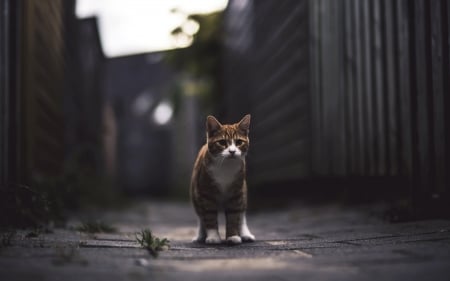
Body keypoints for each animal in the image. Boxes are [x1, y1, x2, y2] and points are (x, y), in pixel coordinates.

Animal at [190, 114, 255, 243]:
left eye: (239, 142)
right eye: (222, 142)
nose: (232, 151)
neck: (226, 167)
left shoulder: (236, 193)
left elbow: (234, 216)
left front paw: (233, 236)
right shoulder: (206, 193)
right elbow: (209, 215)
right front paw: (213, 237)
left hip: (243, 191)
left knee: (242, 215)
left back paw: (245, 234)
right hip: (195, 193)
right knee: (201, 216)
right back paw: (200, 235)